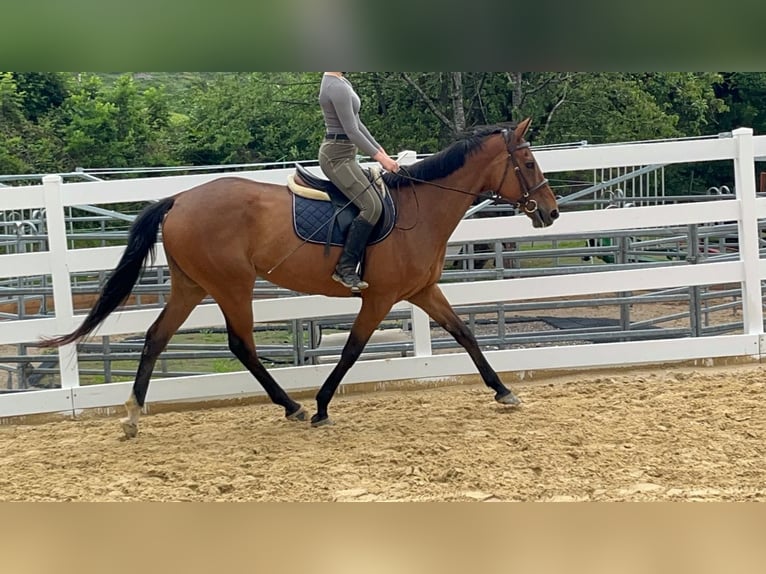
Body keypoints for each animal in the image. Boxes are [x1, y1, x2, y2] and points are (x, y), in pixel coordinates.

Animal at [40, 118, 559, 438]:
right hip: (232, 286)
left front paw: (503, 391)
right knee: (240, 344)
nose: (550, 212)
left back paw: (133, 416)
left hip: (192, 286)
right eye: (528, 163)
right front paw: (325, 406)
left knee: (155, 337)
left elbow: (465, 334)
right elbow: (351, 350)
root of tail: (179, 199)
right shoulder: (380, 298)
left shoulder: (422, 291)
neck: (420, 209)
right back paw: (293, 406)